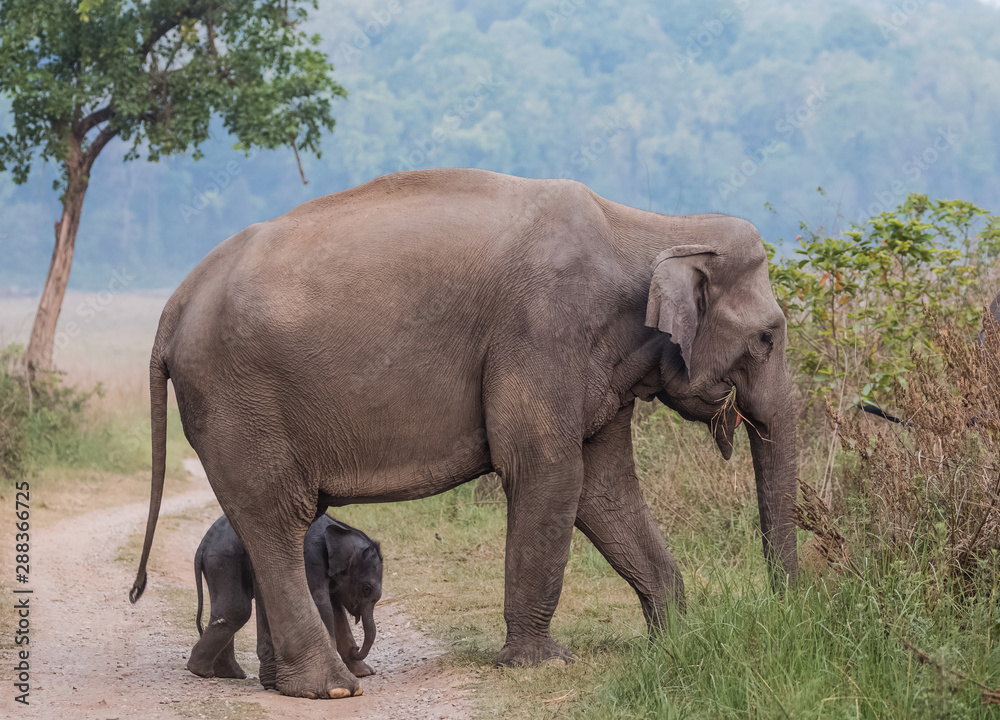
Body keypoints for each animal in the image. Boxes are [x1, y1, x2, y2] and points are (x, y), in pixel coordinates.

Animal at [188, 512, 382, 680]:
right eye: (366, 588)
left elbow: (337, 612)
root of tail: (203, 545)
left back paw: (229, 673)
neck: (339, 529)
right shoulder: (310, 558)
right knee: (236, 610)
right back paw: (202, 671)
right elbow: (322, 605)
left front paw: (364, 672)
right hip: (224, 560)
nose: (356, 649)